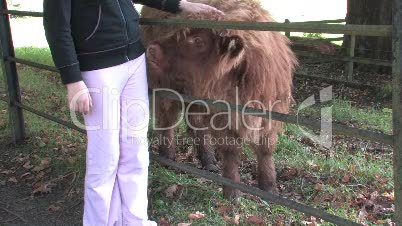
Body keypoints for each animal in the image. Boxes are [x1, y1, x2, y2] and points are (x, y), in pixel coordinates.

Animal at [140, 0, 296, 200]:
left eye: (198, 41)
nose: (152, 49)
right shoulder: (223, 116)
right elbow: (231, 152)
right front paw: (232, 192)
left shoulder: (271, 115)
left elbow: (265, 149)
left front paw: (269, 187)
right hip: (164, 88)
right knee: (167, 121)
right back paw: (168, 156)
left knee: (196, 123)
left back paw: (208, 160)